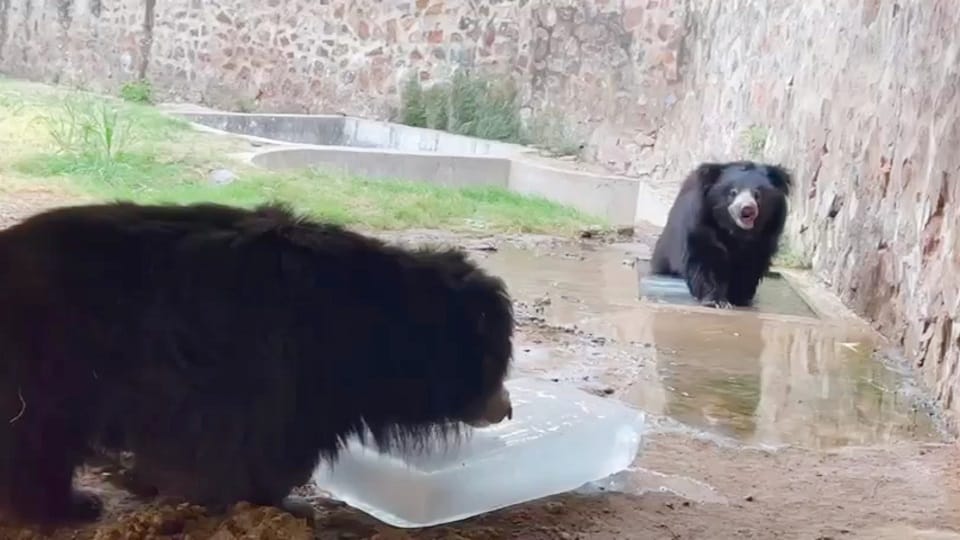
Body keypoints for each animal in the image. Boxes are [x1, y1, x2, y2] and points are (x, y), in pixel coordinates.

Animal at [0, 201, 515, 525]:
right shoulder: (279, 369)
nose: (507, 409)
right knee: (37, 443)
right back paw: (68, 506)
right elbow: (258, 443)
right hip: (50, 369)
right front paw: (283, 505)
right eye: (495, 364)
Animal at [650, 161, 792, 308]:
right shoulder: (701, 225)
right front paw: (716, 300)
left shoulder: (766, 235)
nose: (747, 209)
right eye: (733, 192)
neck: (736, 232)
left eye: (757, 194)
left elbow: (751, 264)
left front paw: (739, 297)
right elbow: (706, 259)